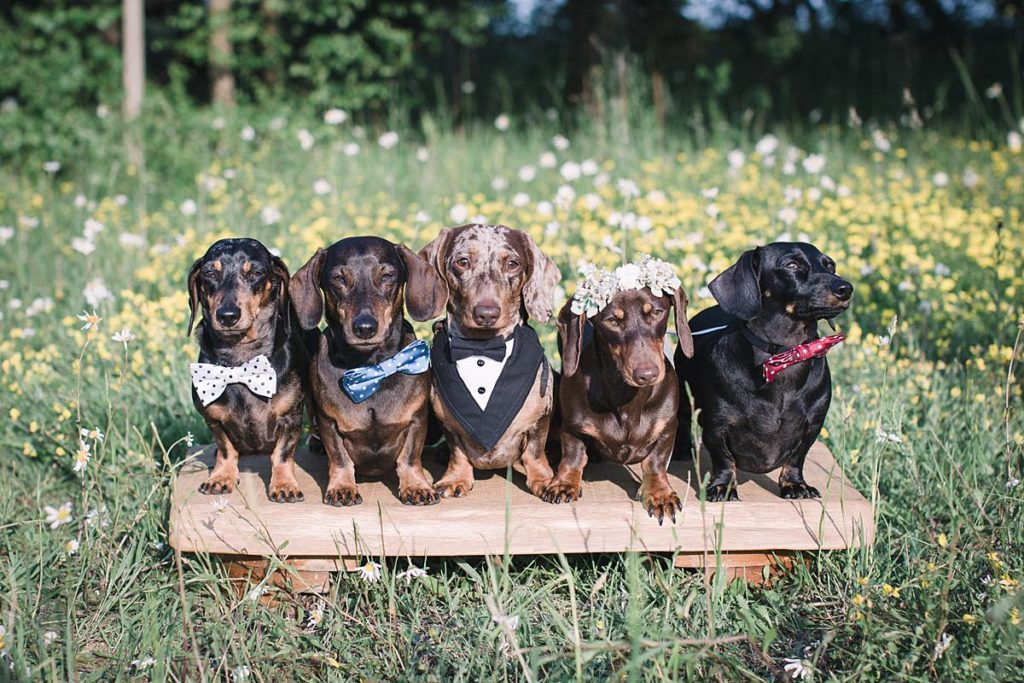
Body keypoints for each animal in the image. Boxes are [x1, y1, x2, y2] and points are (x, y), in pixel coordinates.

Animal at [187, 239, 307, 501]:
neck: (241, 362)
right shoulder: (213, 418)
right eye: (209, 272)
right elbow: (226, 449)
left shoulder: (291, 417)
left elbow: (282, 453)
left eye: (255, 273)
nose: (227, 316)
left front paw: (284, 484)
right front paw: (221, 477)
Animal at [290, 237, 446, 505]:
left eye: (387, 275)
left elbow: (409, 457)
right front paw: (342, 487)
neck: (372, 368)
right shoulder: (329, 423)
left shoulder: (417, 419)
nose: (365, 328)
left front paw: (416, 486)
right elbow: (340, 459)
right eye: (339, 278)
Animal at [415, 227, 561, 499]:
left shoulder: (539, 419)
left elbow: (535, 452)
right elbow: (458, 452)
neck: (482, 348)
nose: (486, 314)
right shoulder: (449, 425)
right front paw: (455, 479)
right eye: (463, 262)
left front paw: (544, 480)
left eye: (512, 264)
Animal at [544, 270, 696, 520]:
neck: (627, 397)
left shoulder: (667, 428)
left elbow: (655, 463)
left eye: (657, 312)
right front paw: (564, 484)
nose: (647, 374)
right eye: (612, 321)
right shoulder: (572, 426)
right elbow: (573, 457)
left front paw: (660, 494)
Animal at [675, 242, 851, 499]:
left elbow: (796, 458)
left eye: (830, 265)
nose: (846, 288)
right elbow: (724, 459)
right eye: (792, 265)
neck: (785, 354)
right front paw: (723, 487)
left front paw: (795, 485)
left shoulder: (813, 424)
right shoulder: (717, 425)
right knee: (683, 419)